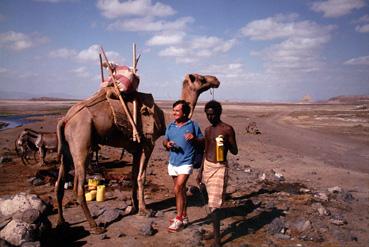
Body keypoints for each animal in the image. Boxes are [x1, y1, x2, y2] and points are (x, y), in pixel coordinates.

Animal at [54, 73, 218, 233]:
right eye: (202, 78)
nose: (216, 80)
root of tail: (65, 119)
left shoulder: (136, 149)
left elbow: (133, 175)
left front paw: (133, 206)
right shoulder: (148, 144)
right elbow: (141, 177)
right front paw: (144, 210)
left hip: (67, 150)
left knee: (59, 184)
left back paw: (61, 222)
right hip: (82, 143)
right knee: (78, 187)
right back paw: (95, 226)